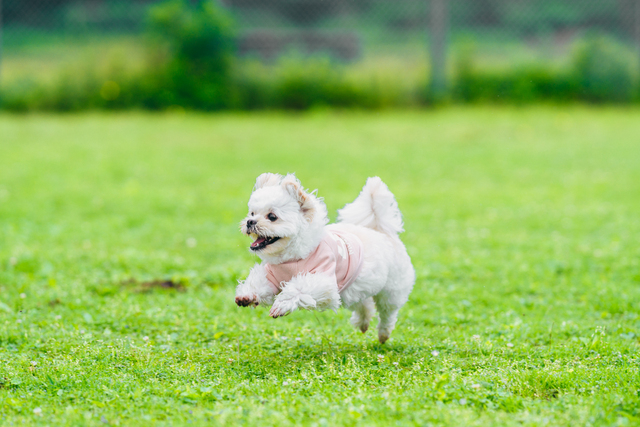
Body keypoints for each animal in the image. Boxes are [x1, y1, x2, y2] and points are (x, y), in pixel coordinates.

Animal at [236, 174, 416, 344]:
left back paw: (383, 333)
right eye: (252, 213)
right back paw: (363, 322)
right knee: (364, 303)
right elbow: (259, 284)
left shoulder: (324, 279)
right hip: (355, 290)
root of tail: (382, 232)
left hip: (391, 291)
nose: (250, 221)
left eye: (272, 216)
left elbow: (298, 288)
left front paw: (281, 305)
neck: (292, 258)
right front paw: (247, 295)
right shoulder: (272, 275)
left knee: (387, 312)